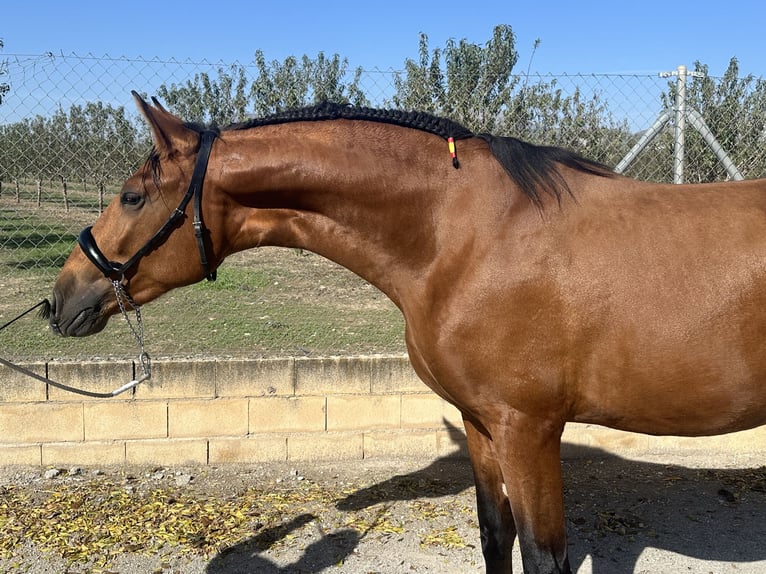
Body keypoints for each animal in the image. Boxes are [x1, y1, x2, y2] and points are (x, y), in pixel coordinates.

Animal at [49, 92, 766, 572]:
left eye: (132, 196)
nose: (61, 299)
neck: (466, 237)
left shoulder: (529, 430)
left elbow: (543, 556)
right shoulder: (482, 424)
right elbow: (494, 535)